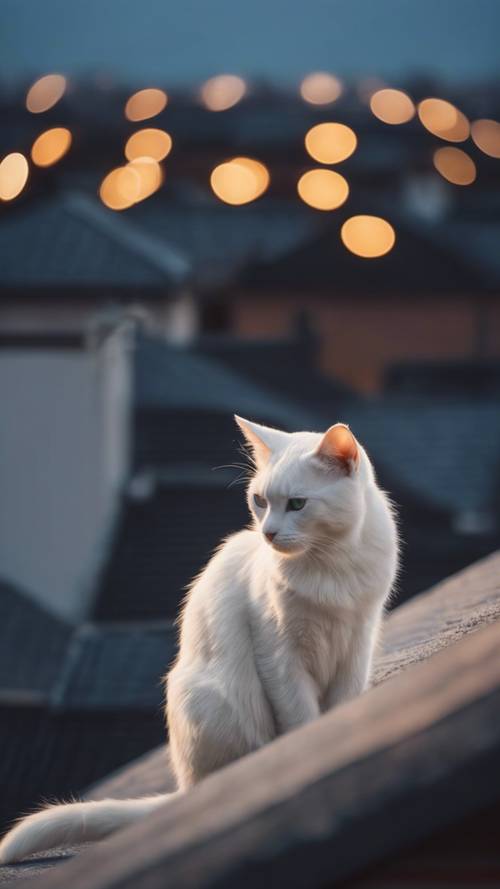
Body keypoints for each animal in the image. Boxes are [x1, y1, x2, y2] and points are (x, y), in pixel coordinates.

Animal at [0, 420, 398, 864]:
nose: (268, 532)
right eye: (260, 501)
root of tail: (185, 790)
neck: (330, 564)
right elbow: (301, 717)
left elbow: (344, 702)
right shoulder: (279, 654)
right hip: (208, 697)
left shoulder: (358, 643)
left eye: (297, 504)